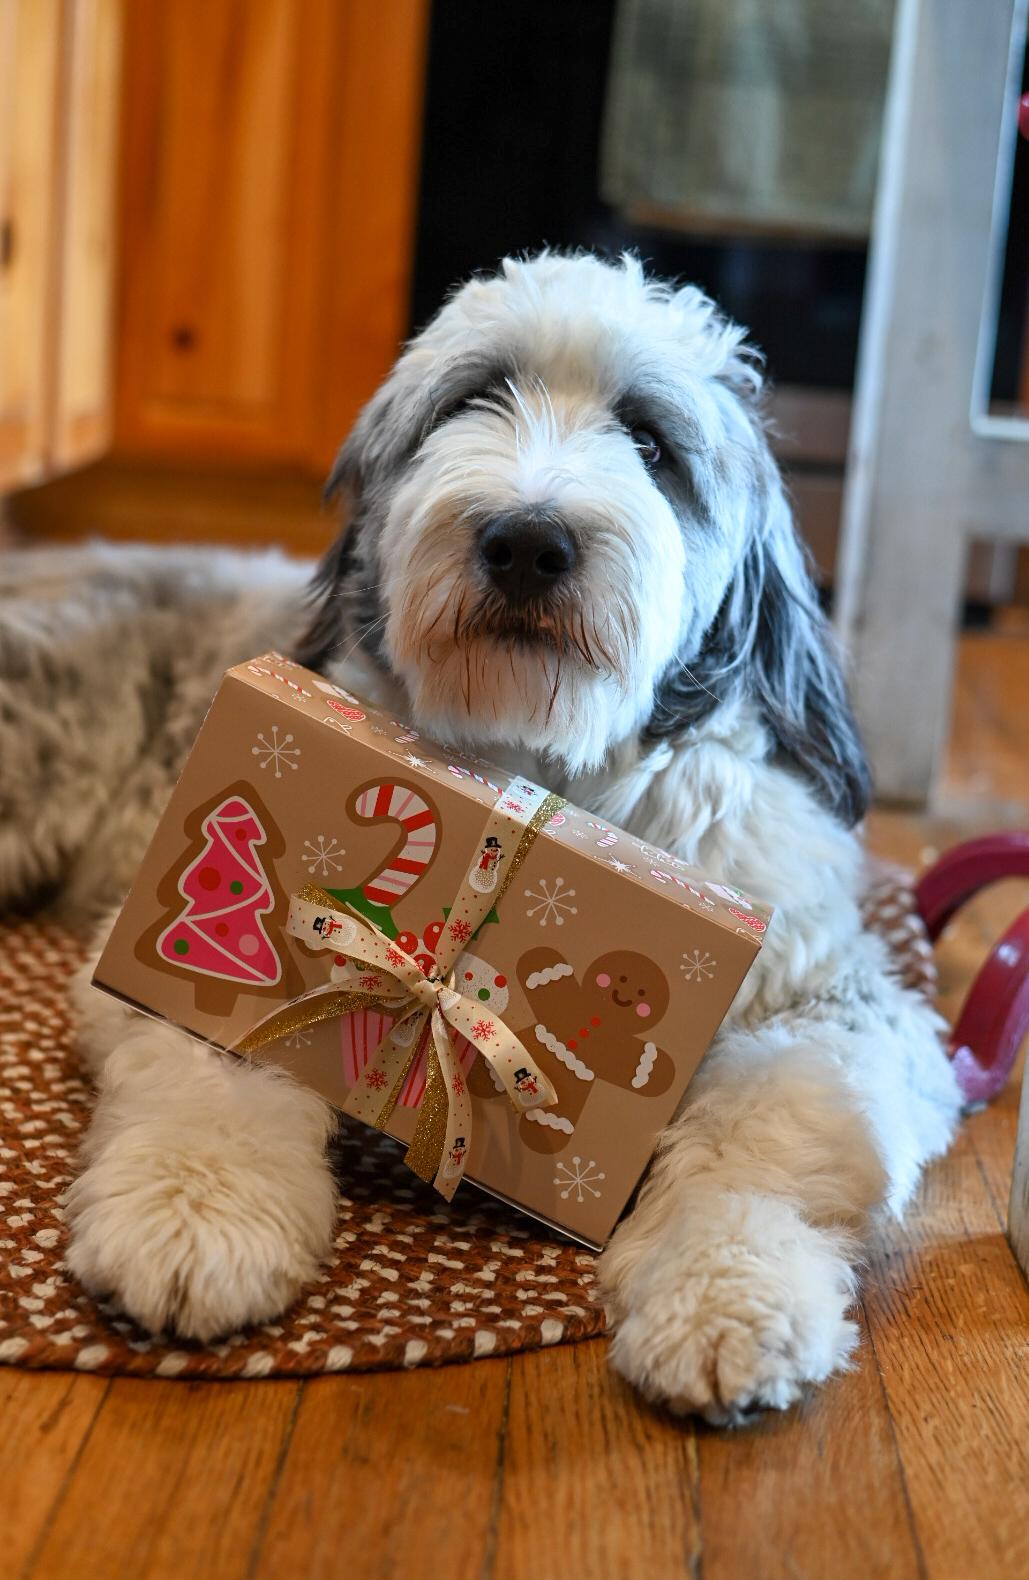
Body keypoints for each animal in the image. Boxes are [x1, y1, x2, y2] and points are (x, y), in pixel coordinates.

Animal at [6, 255, 967, 1422]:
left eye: (650, 439)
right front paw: (193, 1209)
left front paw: (727, 1294)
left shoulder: (834, 1005)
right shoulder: (152, 929)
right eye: (472, 397)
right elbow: (216, 1052)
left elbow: (762, 1139)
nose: (526, 541)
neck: (536, 759)